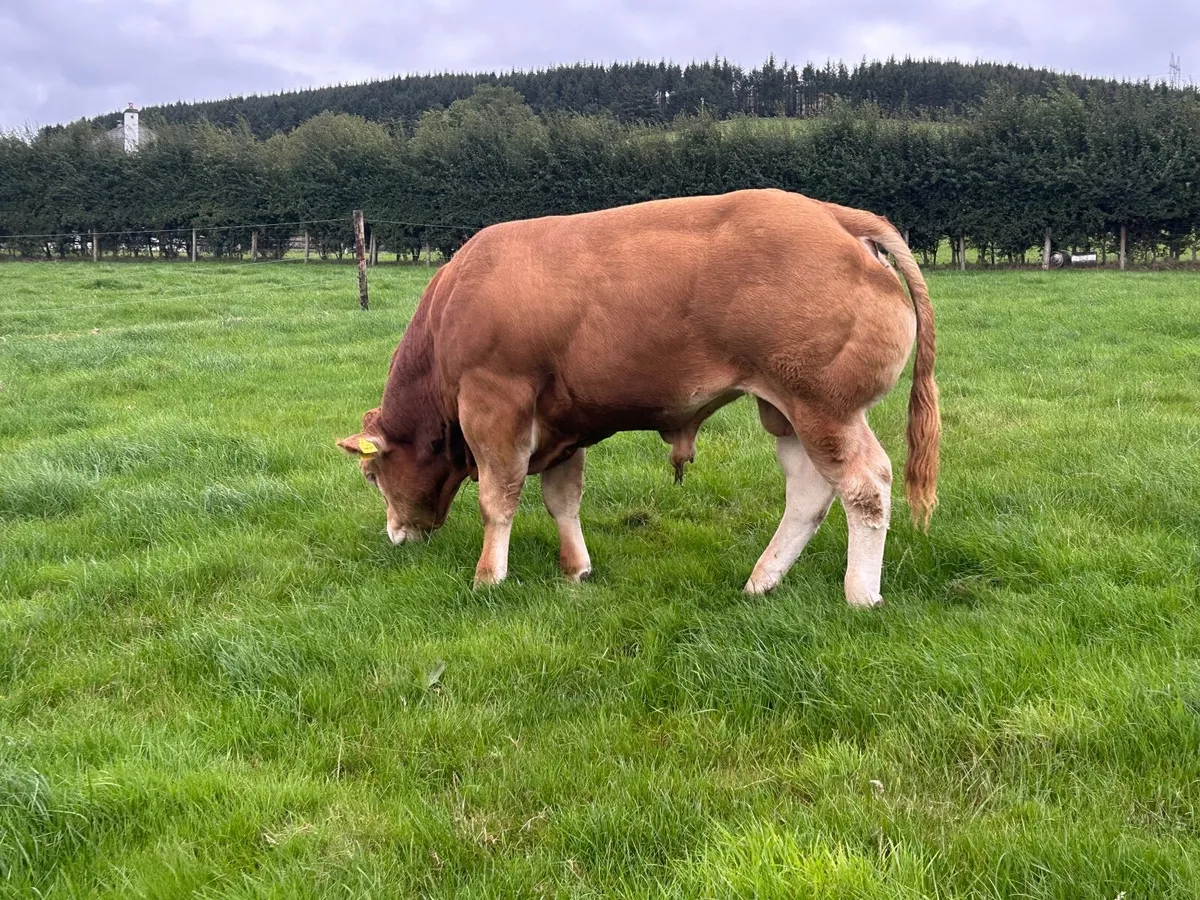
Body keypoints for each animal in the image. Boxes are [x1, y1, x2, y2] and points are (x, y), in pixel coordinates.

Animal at [337, 189, 939, 607]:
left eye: (371, 475)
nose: (395, 535)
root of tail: (834, 215)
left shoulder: (495, 405)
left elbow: (497, 497)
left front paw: (489, 577)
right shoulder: (562, 422)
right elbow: (562, 499)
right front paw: (576, 569)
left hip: (824, 408)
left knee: (865, 485)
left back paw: (861, 595)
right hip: (787, 411)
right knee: (810, 494)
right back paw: (761, 581)